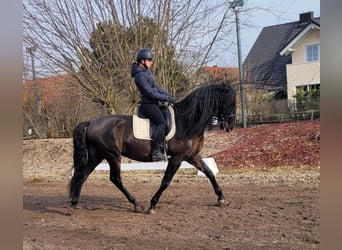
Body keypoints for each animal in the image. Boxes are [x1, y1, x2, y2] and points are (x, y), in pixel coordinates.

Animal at [68, 80, 236, 213]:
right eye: (230, 102)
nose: (232, 125)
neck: (187, 122)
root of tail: (91, 122)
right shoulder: (177, 158)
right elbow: (166, 181)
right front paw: (152, 205)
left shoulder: (192, 156)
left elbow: (210, 173)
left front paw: (222, 199)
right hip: (112, 155)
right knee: (115, 178)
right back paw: (136, 204)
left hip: (97, 155)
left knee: (83, 173)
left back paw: (74, 203)